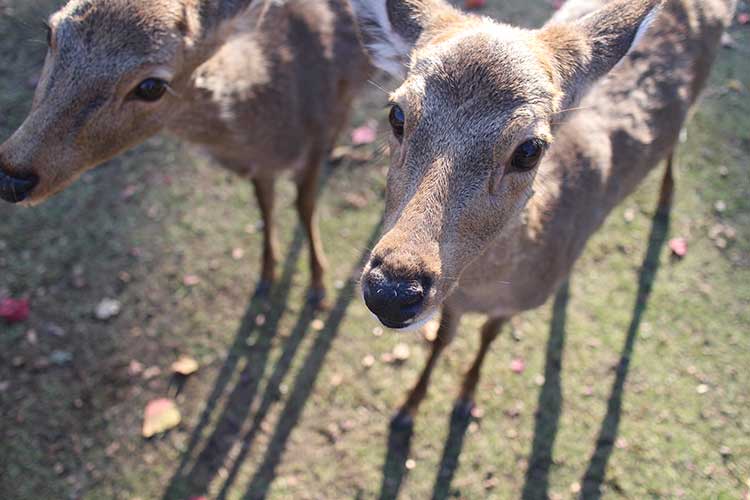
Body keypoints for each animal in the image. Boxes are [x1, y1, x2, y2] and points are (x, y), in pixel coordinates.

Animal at [0, 0, 371, 306]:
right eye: (50, 33)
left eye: (152, 86)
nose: (11, 176)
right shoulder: (259, 165)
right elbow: (265, 206)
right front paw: (266, 277)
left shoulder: (315, 136)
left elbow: (305, 208)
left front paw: (318, 286)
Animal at [351, 0, 736, 429]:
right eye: (396, 115)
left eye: (529, 150)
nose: (391, 291)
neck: (484, 287)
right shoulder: (452, 298)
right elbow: (442, 339)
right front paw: (407, 409)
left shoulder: (520, 302)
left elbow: (487, 337)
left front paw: (465, 399)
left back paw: (667, 199)